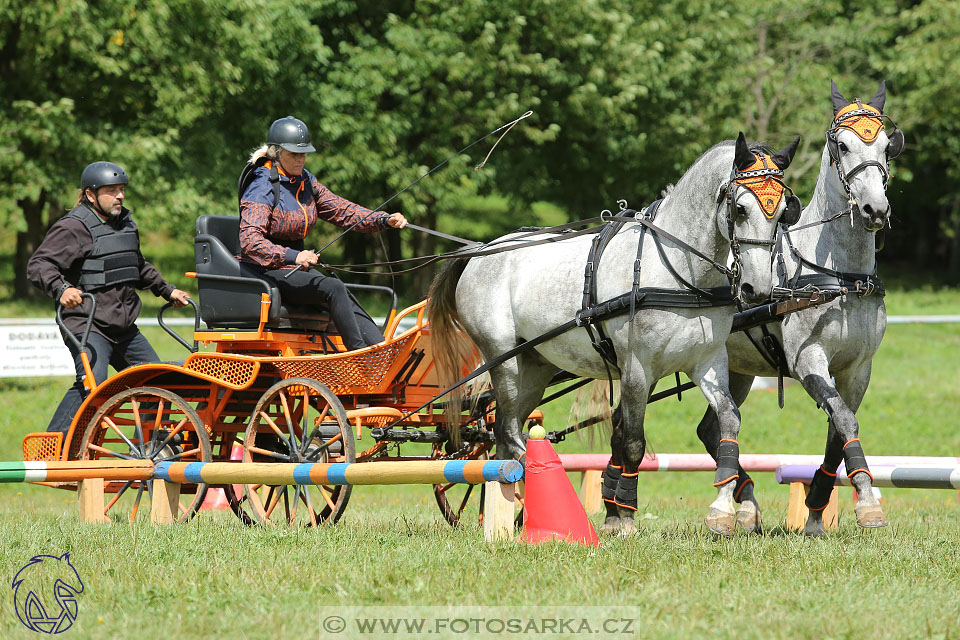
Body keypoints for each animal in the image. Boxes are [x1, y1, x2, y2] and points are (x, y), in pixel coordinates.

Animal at [432, 134, 800, 536]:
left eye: (783, 211)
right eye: (740, 208)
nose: (757, 288)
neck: (679, 273)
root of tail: (482, 249)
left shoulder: (709, 362)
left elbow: (727, 423)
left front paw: (721, 509)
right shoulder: (637, 368)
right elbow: (633, 442)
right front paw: (623, 517)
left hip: (535, 366)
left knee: (504, 435)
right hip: (505, 362)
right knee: (510, 434)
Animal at [688, 81, 900, 536]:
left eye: (887, 146)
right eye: (842, 144)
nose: (875, 210)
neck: (839, 276)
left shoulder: (859, 369)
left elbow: (839, 429)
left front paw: (819, 508)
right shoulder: (808, 361)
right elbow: (844, 419)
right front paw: (866, 502)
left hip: (737, 370)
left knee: (711, 428)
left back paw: (746, 505)